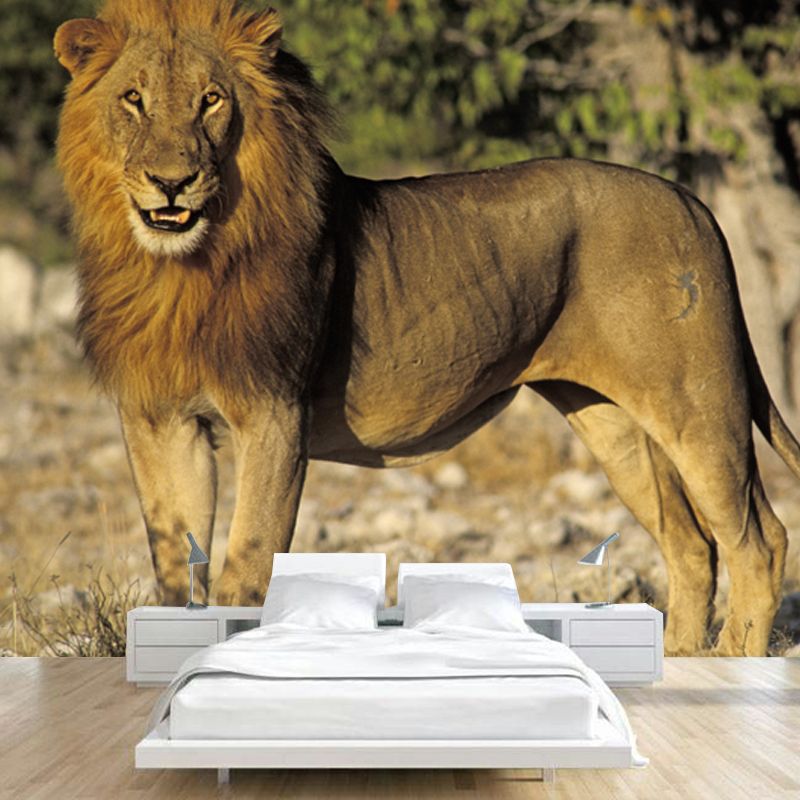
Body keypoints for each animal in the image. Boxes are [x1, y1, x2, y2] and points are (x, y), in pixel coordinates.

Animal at [54, 0, 800, 656]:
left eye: (211, 100)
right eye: (133, 100)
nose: (171, 182)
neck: (179, 269)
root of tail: (689, 197)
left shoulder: (275, 412)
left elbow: (247, 568)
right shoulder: (158, 420)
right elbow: (175, 571)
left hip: (697, 403)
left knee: (758, 540)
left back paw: (733, 663)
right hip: (612, 421)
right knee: (692, 543)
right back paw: (679, 661)